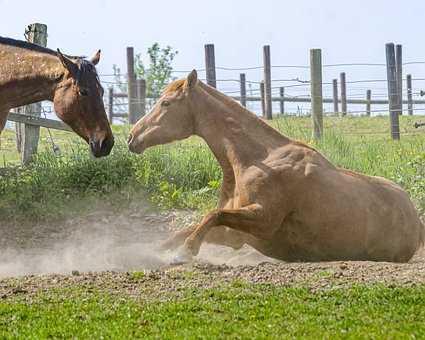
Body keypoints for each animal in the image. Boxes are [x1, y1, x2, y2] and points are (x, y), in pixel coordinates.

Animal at [127, 70, 422, 264]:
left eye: (166, 103)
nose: (132, 137)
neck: (257, 160)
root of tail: (417, 222)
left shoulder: (264, 220)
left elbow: (213, 215)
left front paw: (184, 254)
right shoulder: (233, 235)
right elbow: (187, 229)